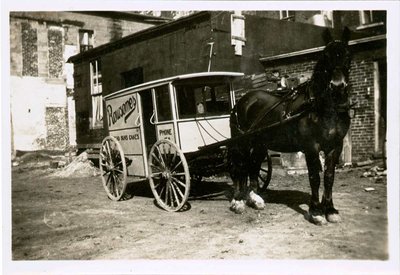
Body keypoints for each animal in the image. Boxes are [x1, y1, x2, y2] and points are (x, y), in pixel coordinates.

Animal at [230, 28, 352, 226]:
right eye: (326, 55)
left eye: (348, 55)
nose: (337, 86)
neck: (322, 107)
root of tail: (244, 101)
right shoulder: (311, 147)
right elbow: (314, 177)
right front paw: (316, 212)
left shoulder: (335, 146)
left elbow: (329, 177)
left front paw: (331, 210)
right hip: (242, 143)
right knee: (240, 168)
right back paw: (238, 202)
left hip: (259, 144)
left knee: (253, 166)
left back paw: (254, 199)